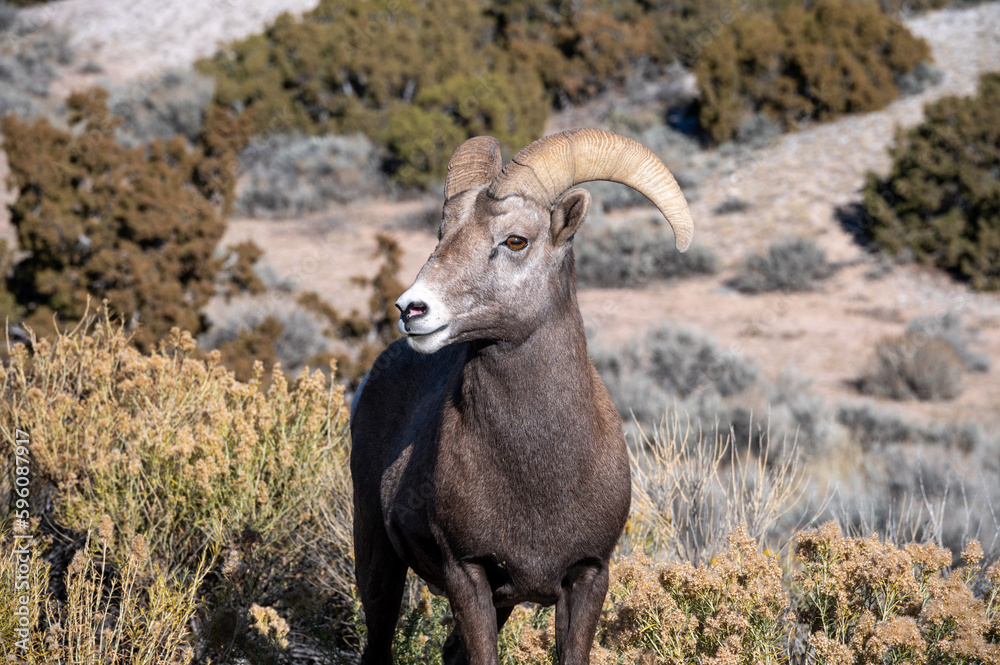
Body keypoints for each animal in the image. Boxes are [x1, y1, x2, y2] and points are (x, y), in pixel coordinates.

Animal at [350, 128, 694, 665]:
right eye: (442, 234)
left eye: (515, 240)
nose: (412, 309)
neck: (537, 468)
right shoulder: (467, 574)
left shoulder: (587, 578)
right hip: (377, 560)